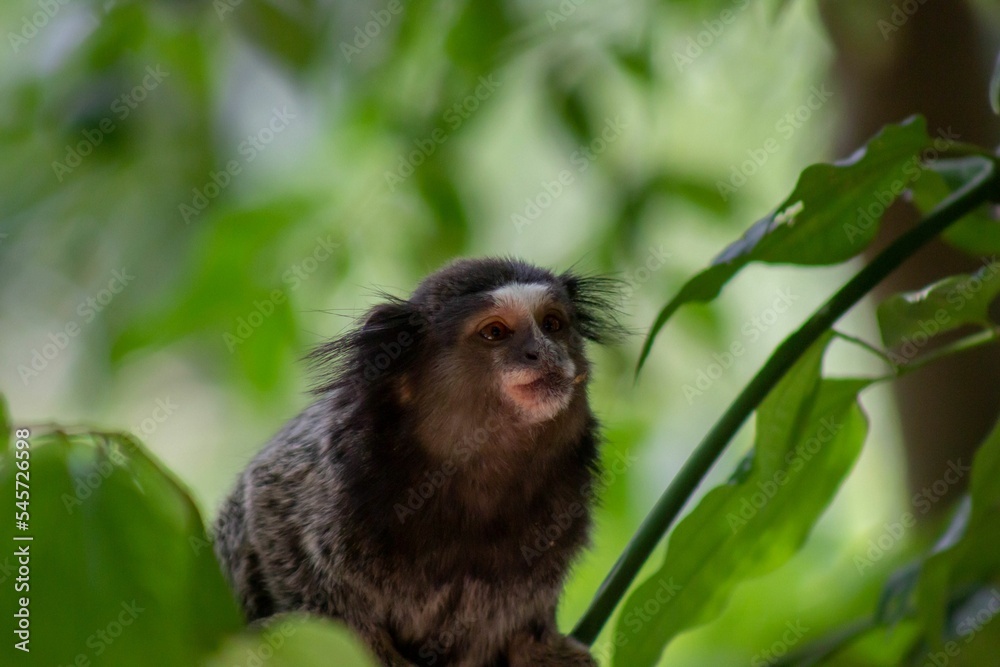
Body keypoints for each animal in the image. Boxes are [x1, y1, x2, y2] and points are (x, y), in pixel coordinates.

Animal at [213, 257, 626, 666]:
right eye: (495, 332)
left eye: (552, 324)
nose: (543, 352)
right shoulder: (324, 472)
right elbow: (266, 511)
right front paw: (371, 648)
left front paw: (536, 646)